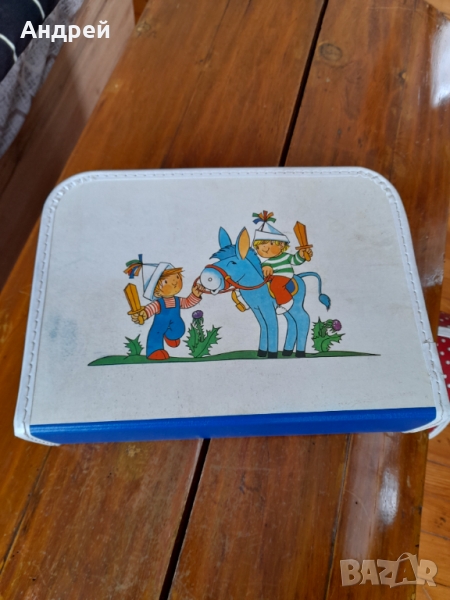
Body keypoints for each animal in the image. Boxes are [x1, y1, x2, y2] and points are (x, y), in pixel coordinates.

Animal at [199, 227, 330, 358]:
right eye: (219, 260)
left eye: (233, 263)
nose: (207, 277)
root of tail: (299, 277)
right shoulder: (256, 309)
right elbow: (264, 326)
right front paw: (262, 352)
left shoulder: (268, 308)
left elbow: (272, 325)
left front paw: (272, 353)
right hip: (288, 308)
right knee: (292, 322)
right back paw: (287, 351)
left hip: (296, 306)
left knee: (303, 319)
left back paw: (300, 352)